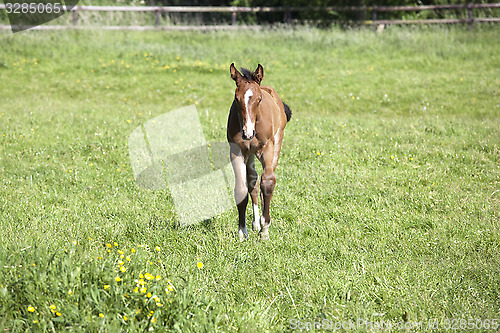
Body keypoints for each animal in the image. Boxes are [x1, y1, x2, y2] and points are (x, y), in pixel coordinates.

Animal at [226, 63, 292, 239]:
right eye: (236, 98)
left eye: (259, 99)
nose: (247, 133)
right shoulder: (237, 151)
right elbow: (241, 189)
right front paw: (242, 231)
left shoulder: (266, 148)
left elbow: (268, 182)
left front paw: (265, 229)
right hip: (249, 154)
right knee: (253, 181)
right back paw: (255, 223)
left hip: (277, 142)